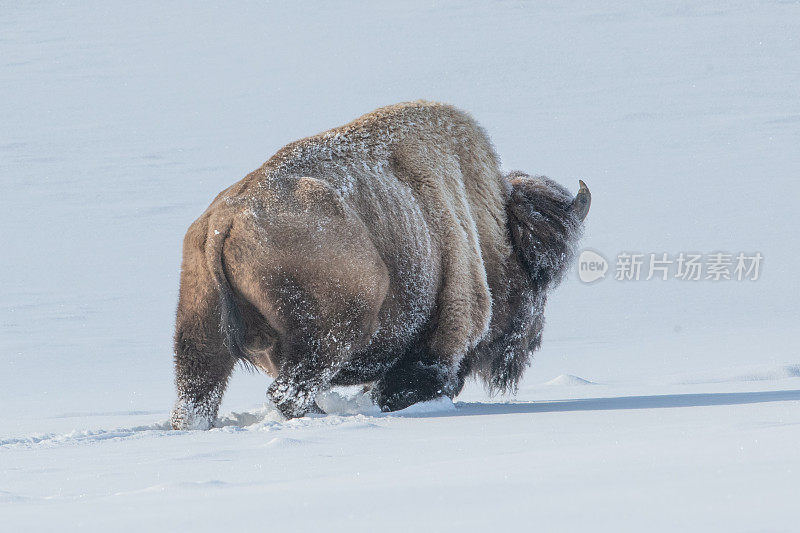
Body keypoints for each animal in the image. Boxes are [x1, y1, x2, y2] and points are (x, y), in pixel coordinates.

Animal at [172, 102, 588, 430]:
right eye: (537, 279)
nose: (532, 339)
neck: (488, 226)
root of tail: (225, 219)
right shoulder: (437, 346)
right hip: (331, 335)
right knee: (288, 392)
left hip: (201, 334)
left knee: (196, 400)